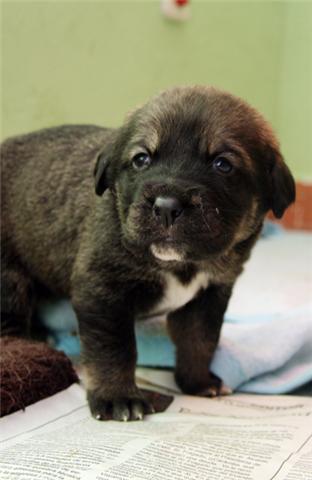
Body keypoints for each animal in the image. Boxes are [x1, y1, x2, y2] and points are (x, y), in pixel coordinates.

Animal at [0, 85, 294, 420]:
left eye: (223, 164)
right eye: (141, 159)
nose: (166, 207)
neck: (180, 265)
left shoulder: (208, 297)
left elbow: (200, 341)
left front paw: (197, 382)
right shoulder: (102, 292)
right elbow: (114, 350)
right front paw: (117, 396)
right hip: (9, 279)